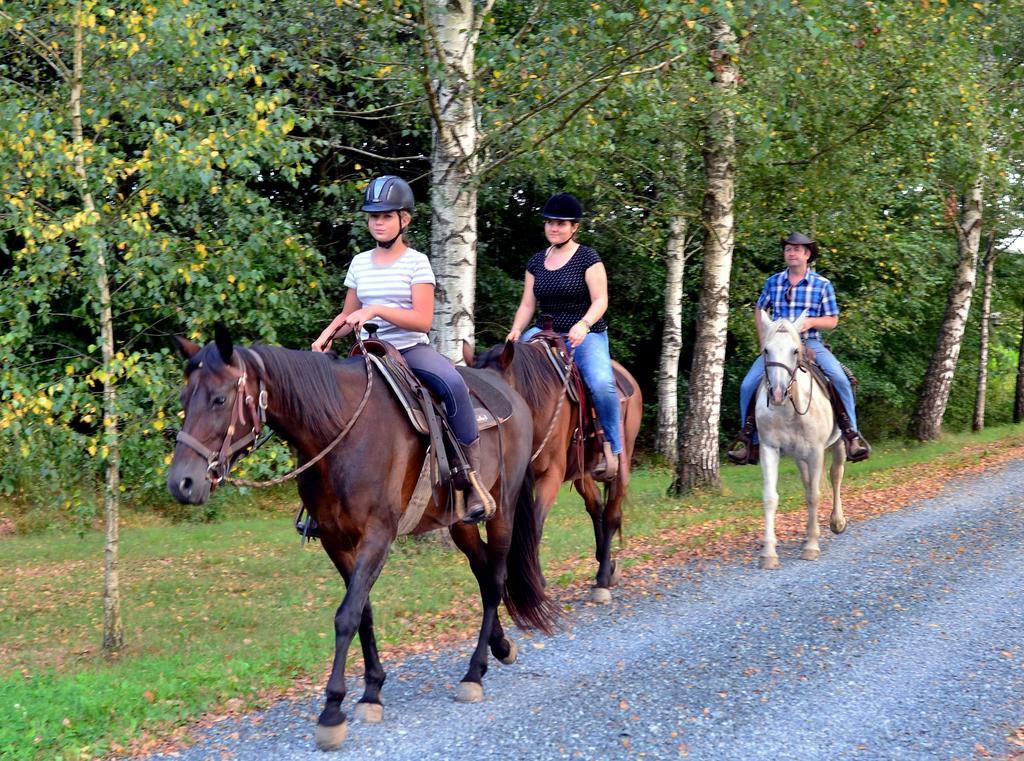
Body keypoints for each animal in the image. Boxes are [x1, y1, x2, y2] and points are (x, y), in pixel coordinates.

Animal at [164, 327, 557, 749]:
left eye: (220, 399)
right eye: (184, 399)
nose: (182, 483)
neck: (340, 431)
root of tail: (507, 390)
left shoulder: (377, 536)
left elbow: (346, 615)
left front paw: (332, 710)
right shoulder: (336, 542)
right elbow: (363, 611)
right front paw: (372, 691)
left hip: (502, 508)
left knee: (495, 579)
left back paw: (474, 672)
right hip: (459, 522)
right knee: (484, 574)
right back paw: (500, 647)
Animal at [468, 342, 638, 602]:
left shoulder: (551, 475)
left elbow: (535, 525)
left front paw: (537, 582)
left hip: (622, 463)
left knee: (611, 514)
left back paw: (602, 579)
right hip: (582, 472)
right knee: (596, 506)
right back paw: (607, 565)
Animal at [757, 311, 843, 573]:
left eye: (795, 350)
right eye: (766, 350)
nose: (776, 393)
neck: (787, 409)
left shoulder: (816, 451)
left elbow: (815, 495)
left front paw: (812, 547)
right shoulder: (769, 449)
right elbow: (770, 497)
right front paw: (769, 553)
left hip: (838, 445)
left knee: (836, 475)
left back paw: (837, 522)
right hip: (799, 457)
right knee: (807, 484)